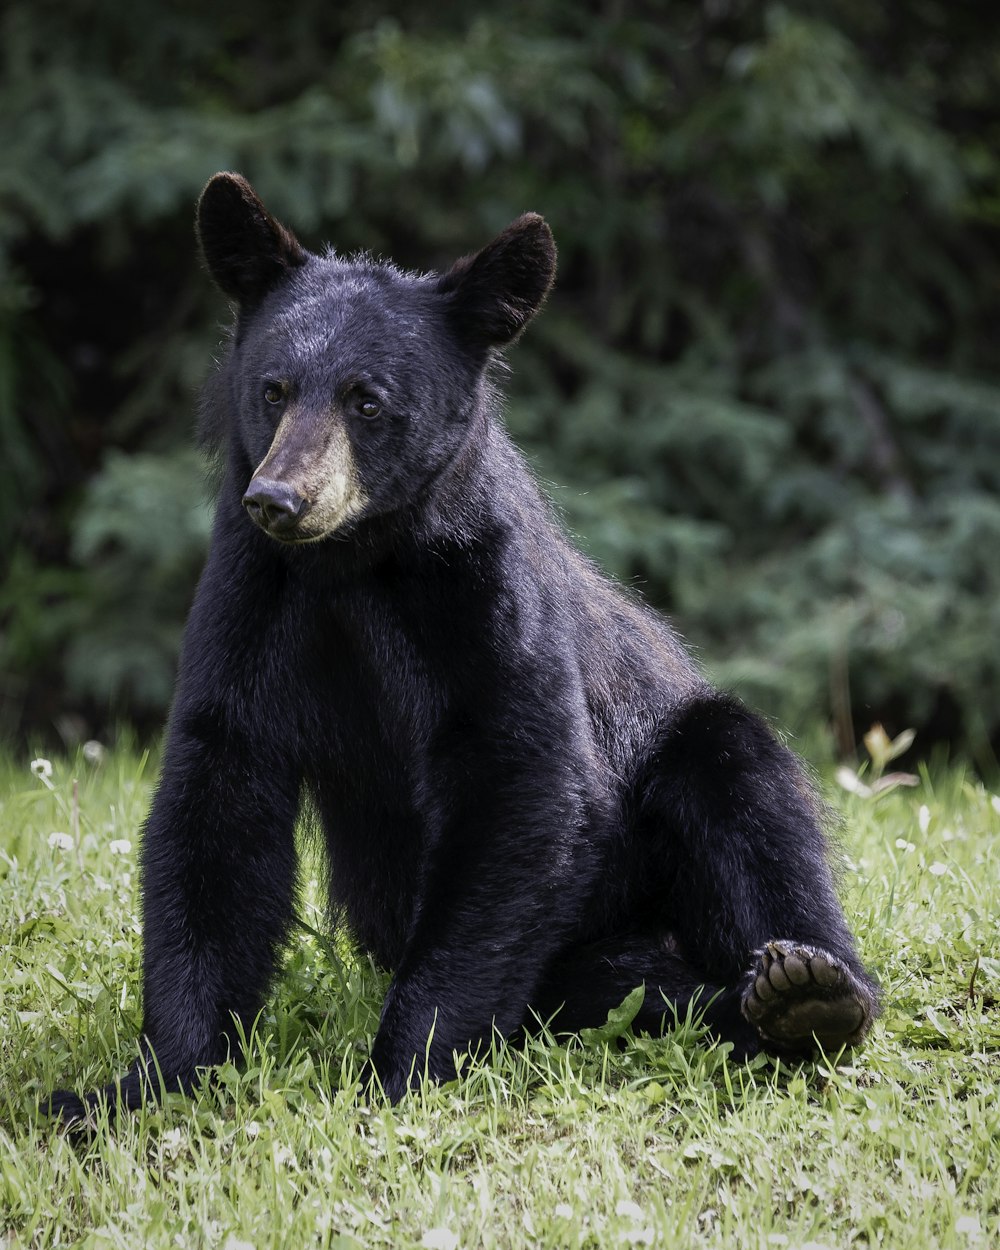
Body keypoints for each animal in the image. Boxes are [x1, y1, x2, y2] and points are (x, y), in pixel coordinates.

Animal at [48, 173, 875, 1125]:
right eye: (274, 388)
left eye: (368, 400)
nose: (279, 498)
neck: (356, 566)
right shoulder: (250, 598)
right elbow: (217, 798)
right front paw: (145, 1082)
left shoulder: (486, 596)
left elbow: (517, 781)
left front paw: (401, 1070)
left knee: (744, 791)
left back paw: (807, 993)